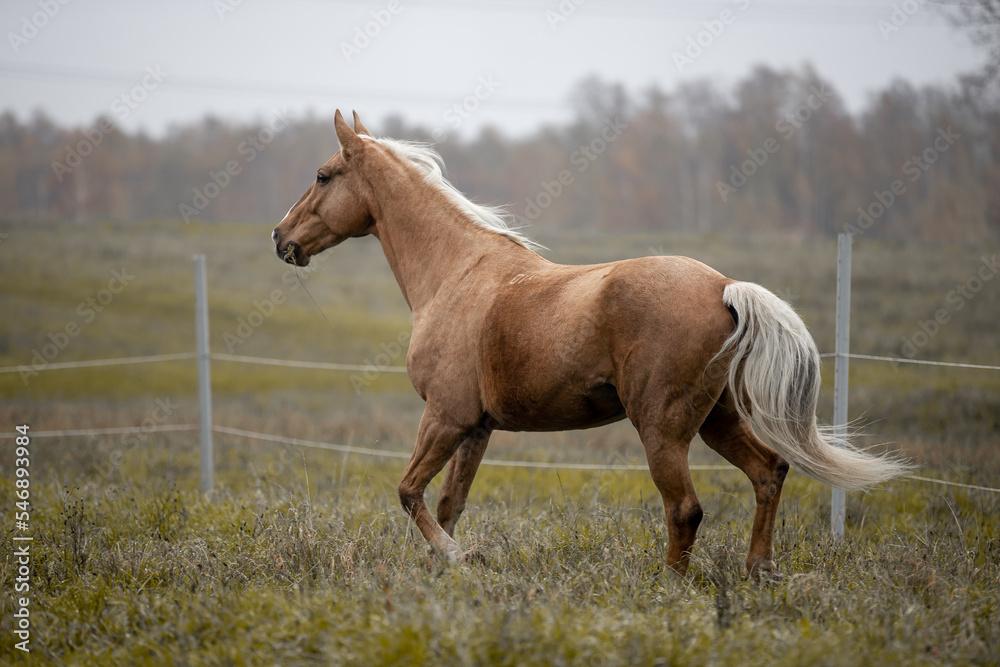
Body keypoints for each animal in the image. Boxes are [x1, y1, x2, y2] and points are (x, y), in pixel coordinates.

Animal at [272, 110, 909, 577]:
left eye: (324, 175)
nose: (281, 238)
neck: (457, 273)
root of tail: (725, 288)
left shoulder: (445, 416)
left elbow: (409, 492)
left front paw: (459, 558)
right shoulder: (475, 427)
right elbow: (449, 504)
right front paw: (440, 572)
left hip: (662, 428)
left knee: (685, 508)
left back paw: (669, 585)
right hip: (716, 419)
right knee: (769, 473)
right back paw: (759, 571)